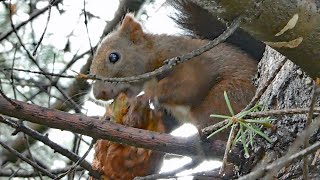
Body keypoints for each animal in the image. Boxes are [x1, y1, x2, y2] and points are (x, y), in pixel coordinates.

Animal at [89, 1, 262, 137]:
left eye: (113, 57)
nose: (99, 94)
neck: (153, 53)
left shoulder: (184, 59)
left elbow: (189, 84)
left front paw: (142, 98)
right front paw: (112, 116)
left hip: (226, 96)